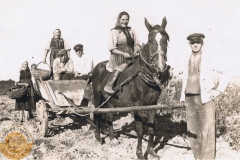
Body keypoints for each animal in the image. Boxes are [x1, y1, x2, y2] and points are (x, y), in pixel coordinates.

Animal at [91, 16, 171, 159]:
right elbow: (140, 131)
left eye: (165, 39)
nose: (160, 67)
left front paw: (151, 152)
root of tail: (97, 67)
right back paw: (99, 137)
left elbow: (151, 129)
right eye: (150, 40)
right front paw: (139, 153)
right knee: (98, 115)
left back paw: (112, 138)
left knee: (109, 117)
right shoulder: (137, 105)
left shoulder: (153, 104)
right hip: (97, 96)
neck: (143, 76)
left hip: (111, 101)